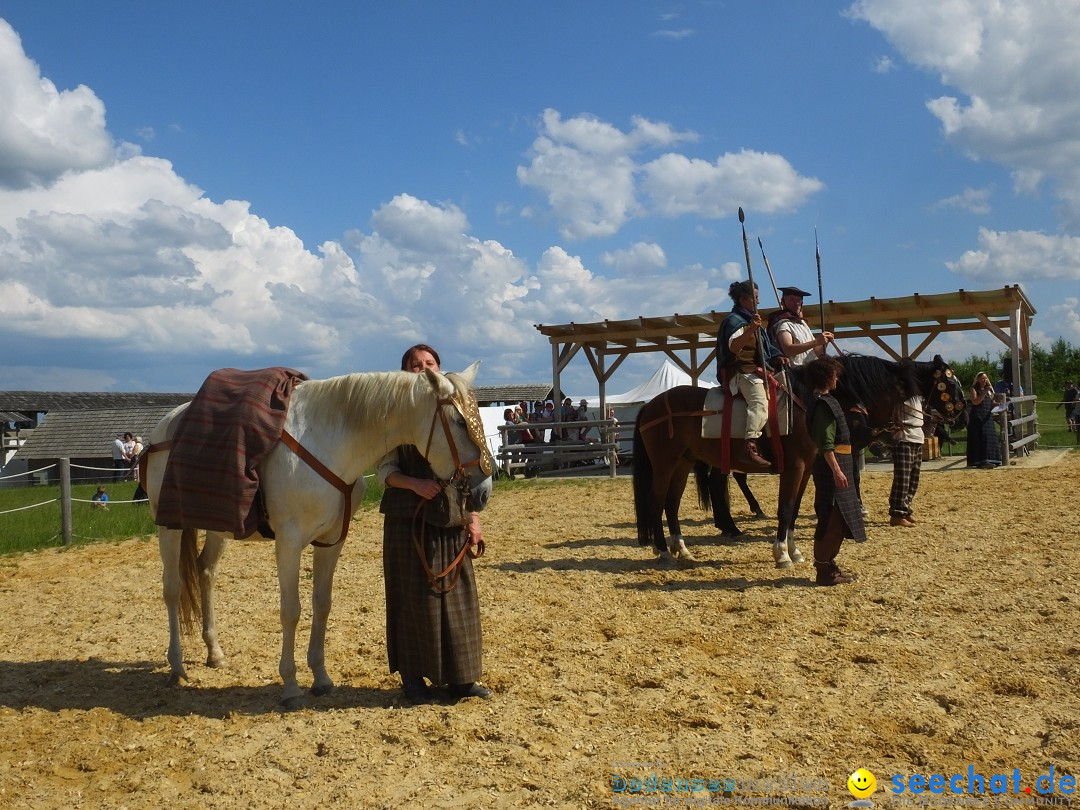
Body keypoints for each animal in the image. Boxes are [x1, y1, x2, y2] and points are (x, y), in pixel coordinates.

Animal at [143, 365, 494, 708]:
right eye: (460, 421)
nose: (484, 490)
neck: (326, 443)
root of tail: (164, 429)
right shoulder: (289, 542)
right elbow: (291, 610)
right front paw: (290, 687)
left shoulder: (331, 541)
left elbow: (322, 603)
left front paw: (321, 678)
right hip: (169, 527)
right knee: (172, 588)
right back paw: (176, 668)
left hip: (218, 528)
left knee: (205, 572)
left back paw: (214, 653)